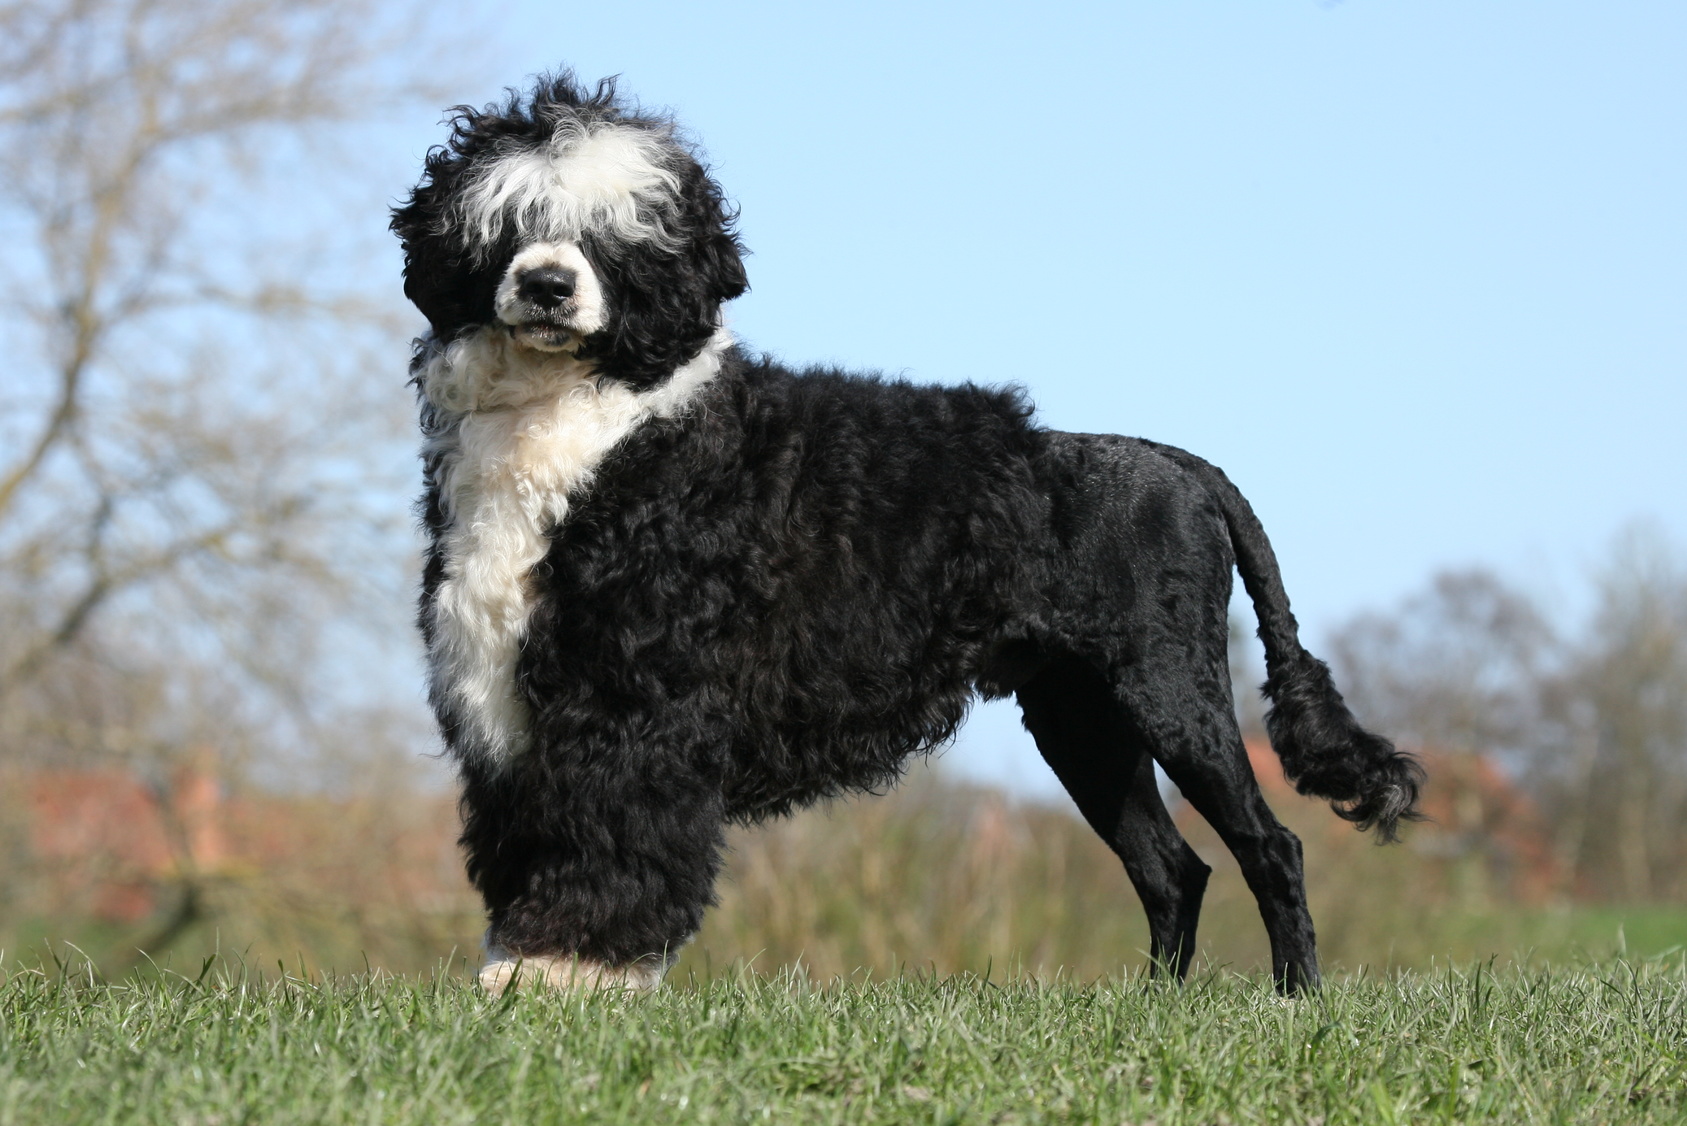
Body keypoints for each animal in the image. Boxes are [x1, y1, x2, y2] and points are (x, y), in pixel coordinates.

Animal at [388, 70, 1417, 992]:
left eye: (619, 237)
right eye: (507, 223)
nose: (547, 285)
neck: (599, 420)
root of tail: (1182, 465)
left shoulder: (631, 702)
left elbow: (609, 840)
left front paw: (570, 974)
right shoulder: (509, 708)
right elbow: (528, 845)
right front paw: (519, 974)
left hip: (1171, 692)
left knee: (1270, 847)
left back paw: (1295, 1001)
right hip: (1083, 719)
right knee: (1172, 868)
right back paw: (1156, 1009)